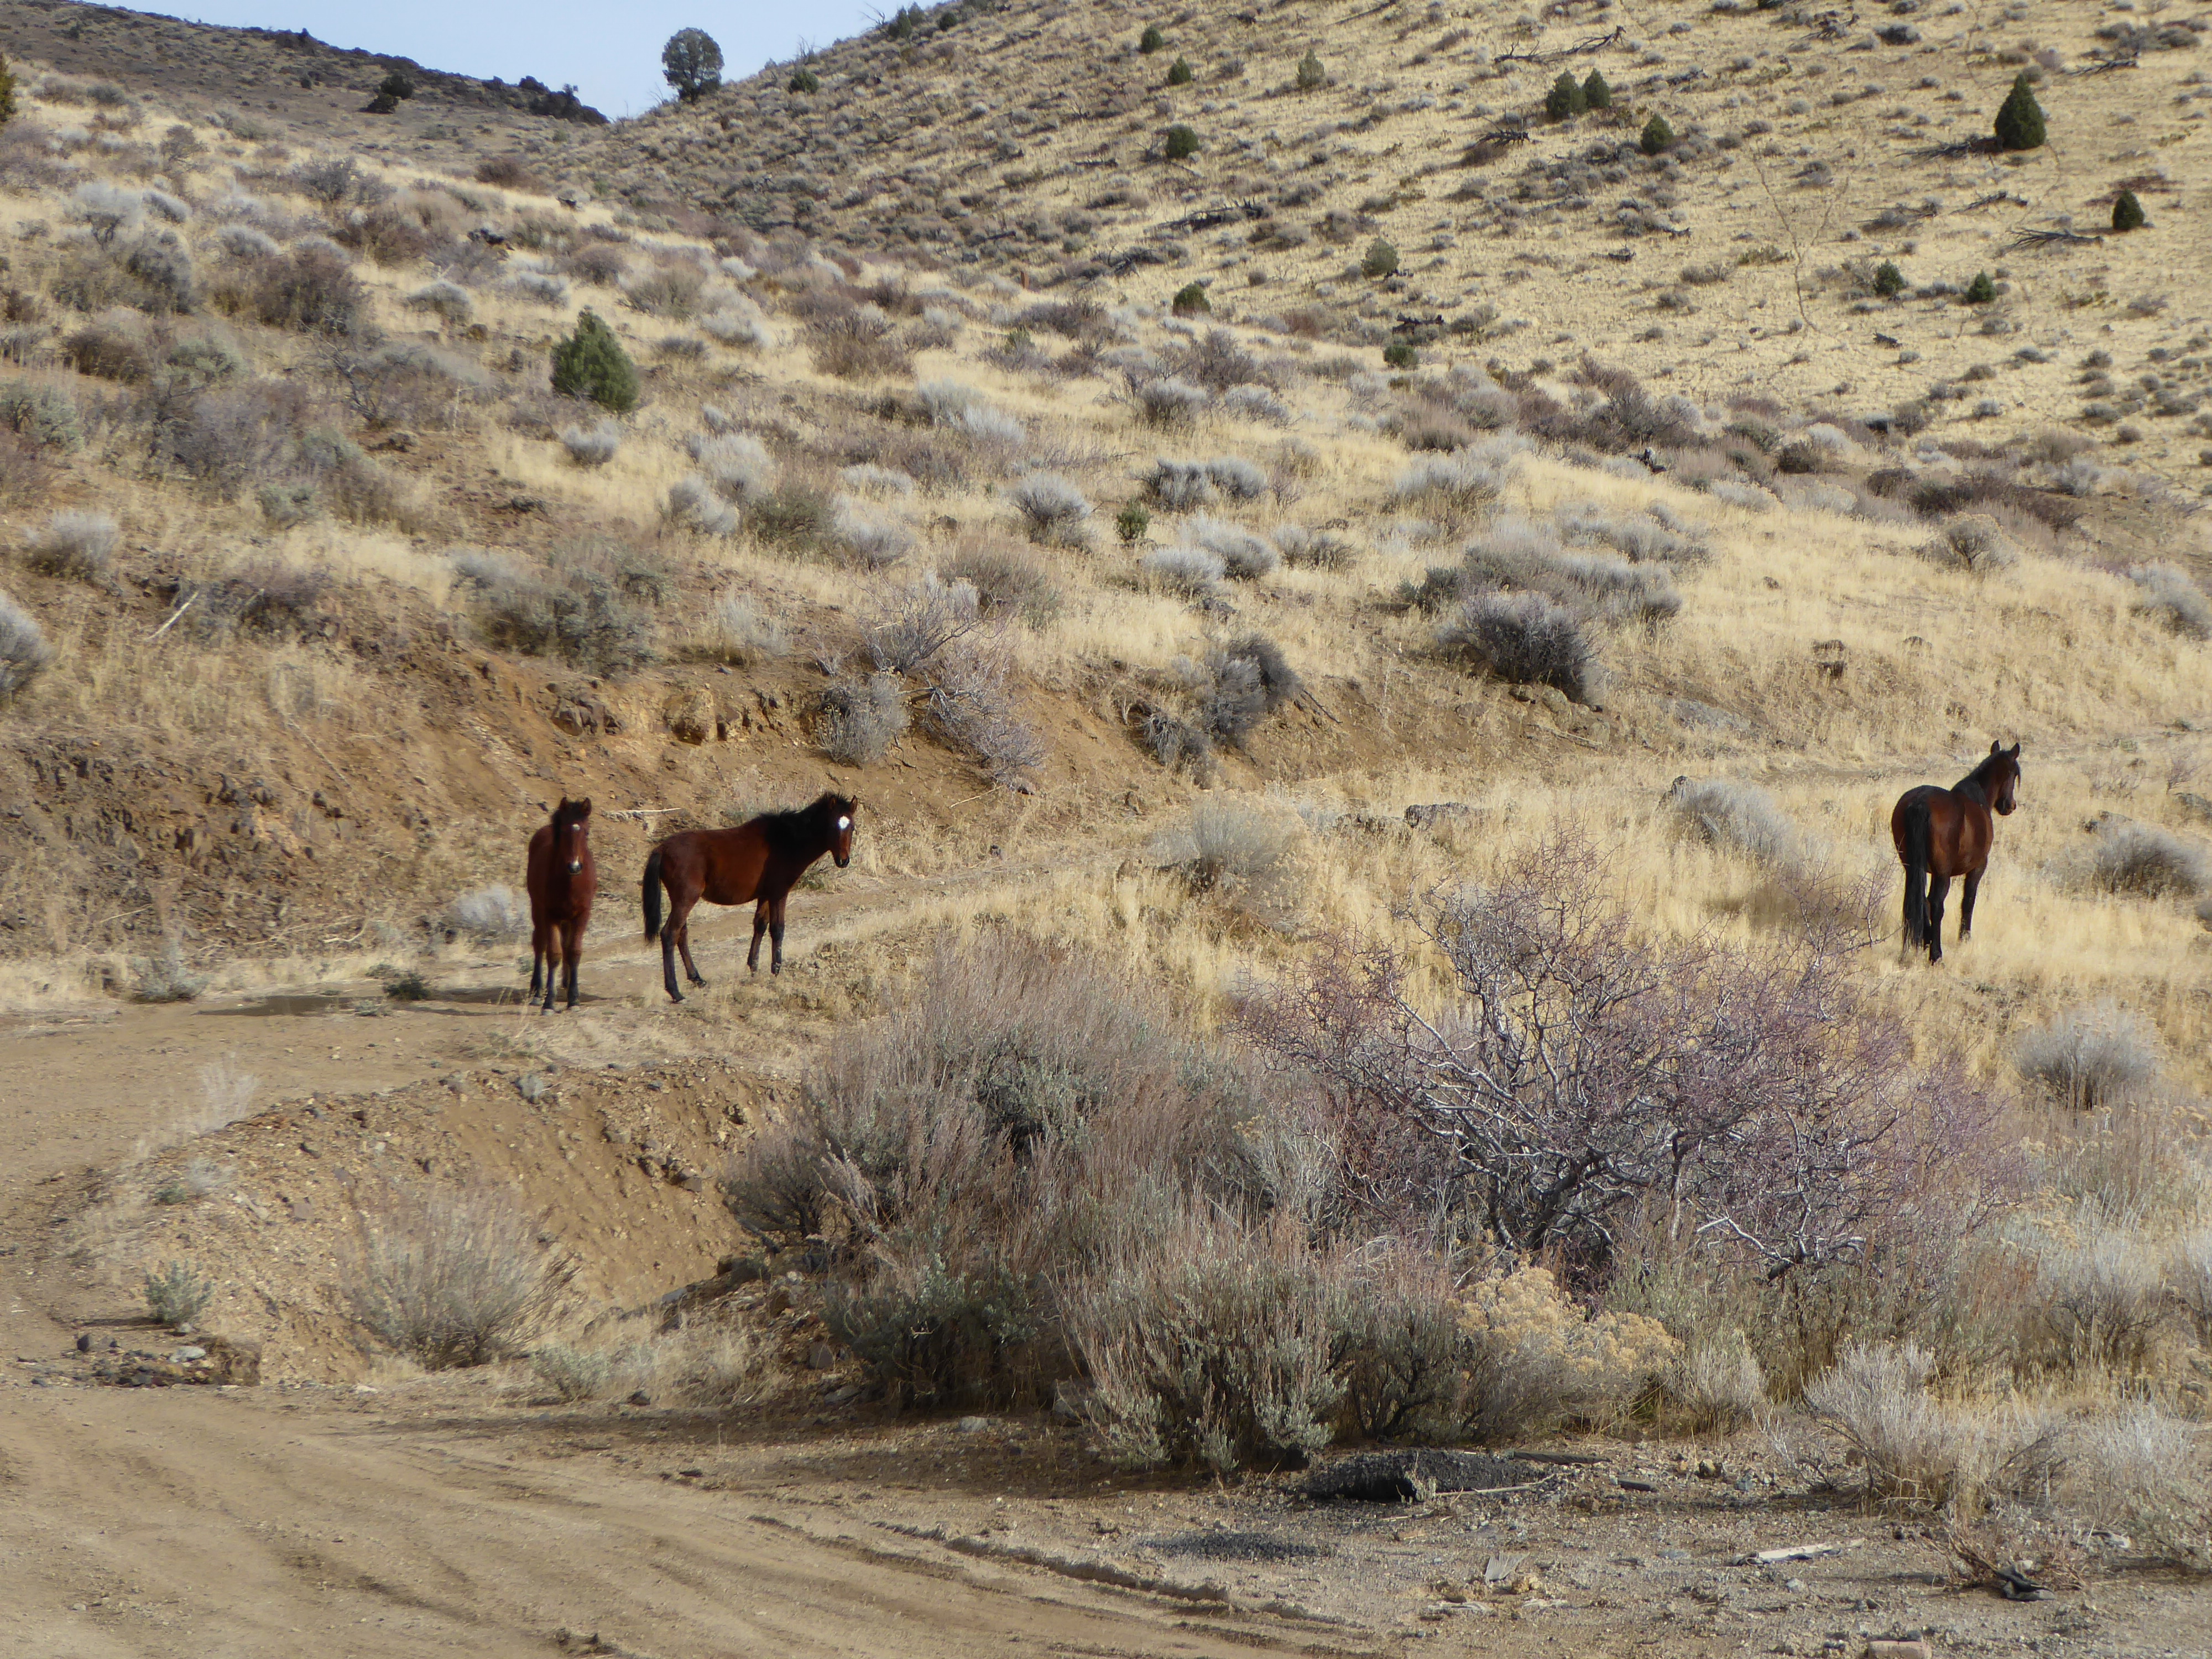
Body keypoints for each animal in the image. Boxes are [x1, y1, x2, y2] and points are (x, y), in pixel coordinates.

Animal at [526, 801, 597, 1022]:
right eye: (564, 831)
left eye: (587, 832)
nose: (574, 867)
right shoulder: (550, 915)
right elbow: (554, 954)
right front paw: (549, 1003)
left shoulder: (582, 915)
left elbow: (573, 951)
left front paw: (574, 1000)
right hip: (537, 909)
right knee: (539, 943)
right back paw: (537, 991)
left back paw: (566, 984)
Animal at [641, 792, 854, 1000]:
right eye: (832, 826)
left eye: (851, 827)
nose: (843, 861)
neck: (785, 841)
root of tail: (662, 849)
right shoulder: (779, 893)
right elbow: (778, 929)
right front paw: (776, 970)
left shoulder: (765, 895)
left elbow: (760, 925)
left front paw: (753, 967)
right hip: (686, 899)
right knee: (670, 934)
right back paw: (675, 991)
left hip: (680, 900)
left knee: (681, 934)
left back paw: (697, 979)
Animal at [1885, 748, 2026, 969]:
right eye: (2013, 775)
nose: (2010, 806)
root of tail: (1919, 803)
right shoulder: (1978, 867)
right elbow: (1968, 901)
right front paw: (1965, 938)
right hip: (1943, 874)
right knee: (1935, 904)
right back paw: (1936, 954)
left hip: (1912, 867)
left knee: (1920, 900)